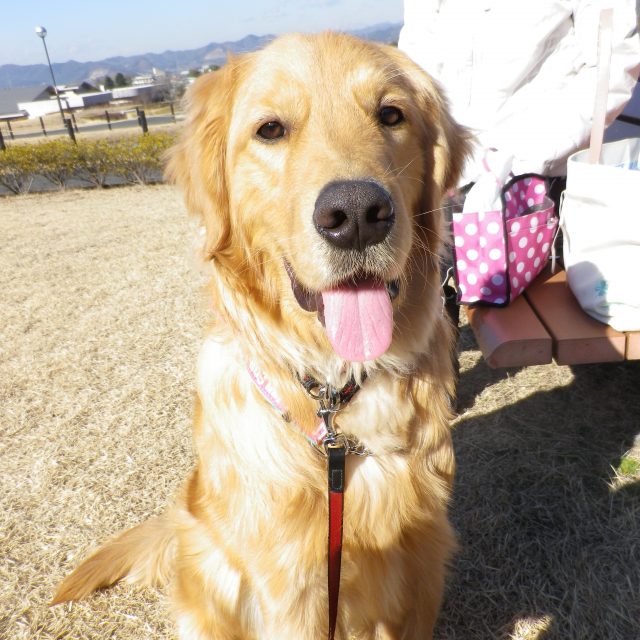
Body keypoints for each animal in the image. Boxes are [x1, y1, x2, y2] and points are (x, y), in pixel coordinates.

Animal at [53, 32, 470, 639]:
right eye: (270, 129)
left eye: (391, 115)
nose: (356, 214)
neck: (335, 394)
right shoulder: (290, 587)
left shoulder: (421, 563)